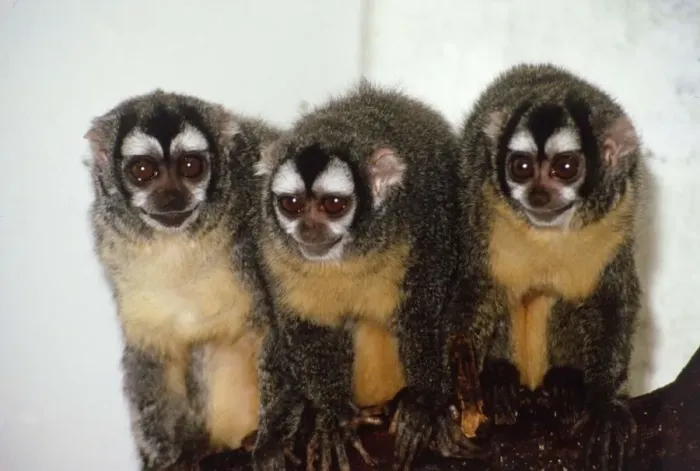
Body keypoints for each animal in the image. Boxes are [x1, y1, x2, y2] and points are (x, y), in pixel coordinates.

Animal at [84, 89, 281, 470]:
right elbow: (153, 350)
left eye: (191, 166)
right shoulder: (116, 254)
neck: (179, 244)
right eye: (143, 171)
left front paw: (274, 444)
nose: (172, 196)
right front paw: (169, 457)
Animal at [250, 82, 482, 471]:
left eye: (333, 205)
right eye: (292, 204)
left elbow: (422, 311)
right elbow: (306, 327)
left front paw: (425, 403)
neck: (348, 253)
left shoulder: (424, 224)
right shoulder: (274, 252)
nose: (309, 231)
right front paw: (334, 417)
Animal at [453, 63, 642, 471]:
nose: (538, 194)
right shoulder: (482, 205)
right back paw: (500, 380)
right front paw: (451, 400)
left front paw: (604, 403)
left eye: (565, 168)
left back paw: (564, 382)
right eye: (521, 167)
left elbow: (612, 298)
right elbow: (476, 290)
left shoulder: (618, 213)